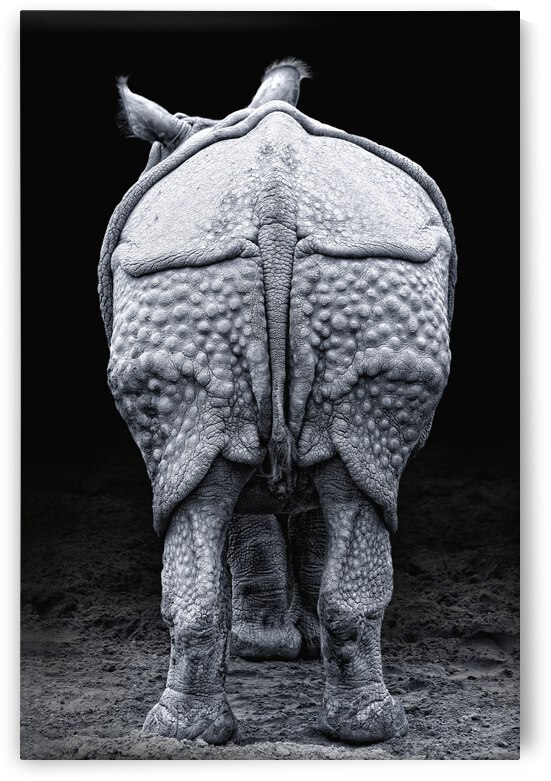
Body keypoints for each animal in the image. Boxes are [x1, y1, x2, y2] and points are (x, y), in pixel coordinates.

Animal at [99, 59, 457, 746]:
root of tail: (276, 207)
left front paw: (273, 648)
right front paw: (271, 648)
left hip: (262, 266)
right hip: (331, 266)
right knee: (342, 478)